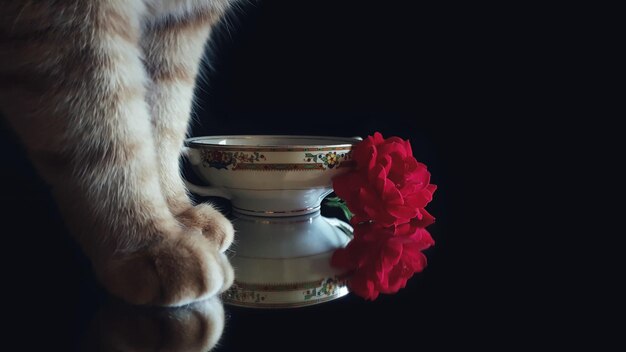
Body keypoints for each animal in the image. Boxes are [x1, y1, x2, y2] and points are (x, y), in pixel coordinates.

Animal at [0, 0, 236, 306]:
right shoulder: (72, 22)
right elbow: (112, 139)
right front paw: (153, 242)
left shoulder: (180, 24)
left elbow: (164, 122)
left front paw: (178, 213)